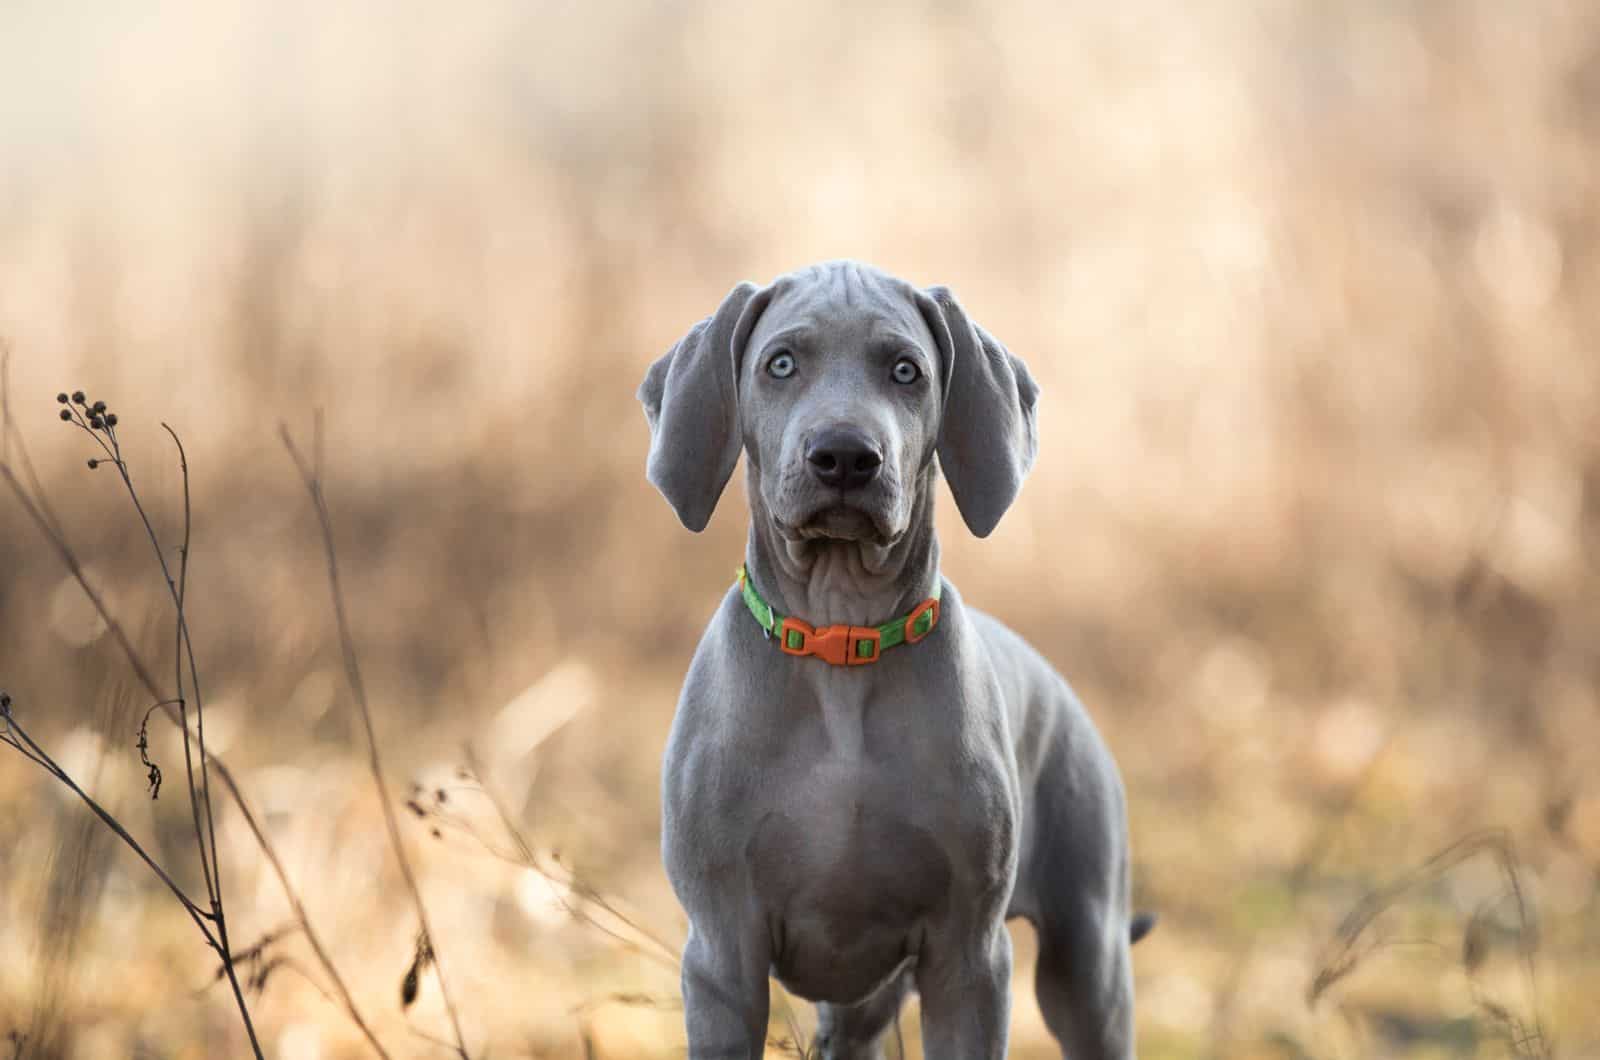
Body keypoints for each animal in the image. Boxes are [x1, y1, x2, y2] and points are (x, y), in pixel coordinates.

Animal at [636, 259, 1152, 1060]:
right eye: (779, 364)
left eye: (906, 371)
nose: (846, 456)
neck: (841, 641)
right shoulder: (723, 956)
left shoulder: (968, 960)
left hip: (1087, 955)